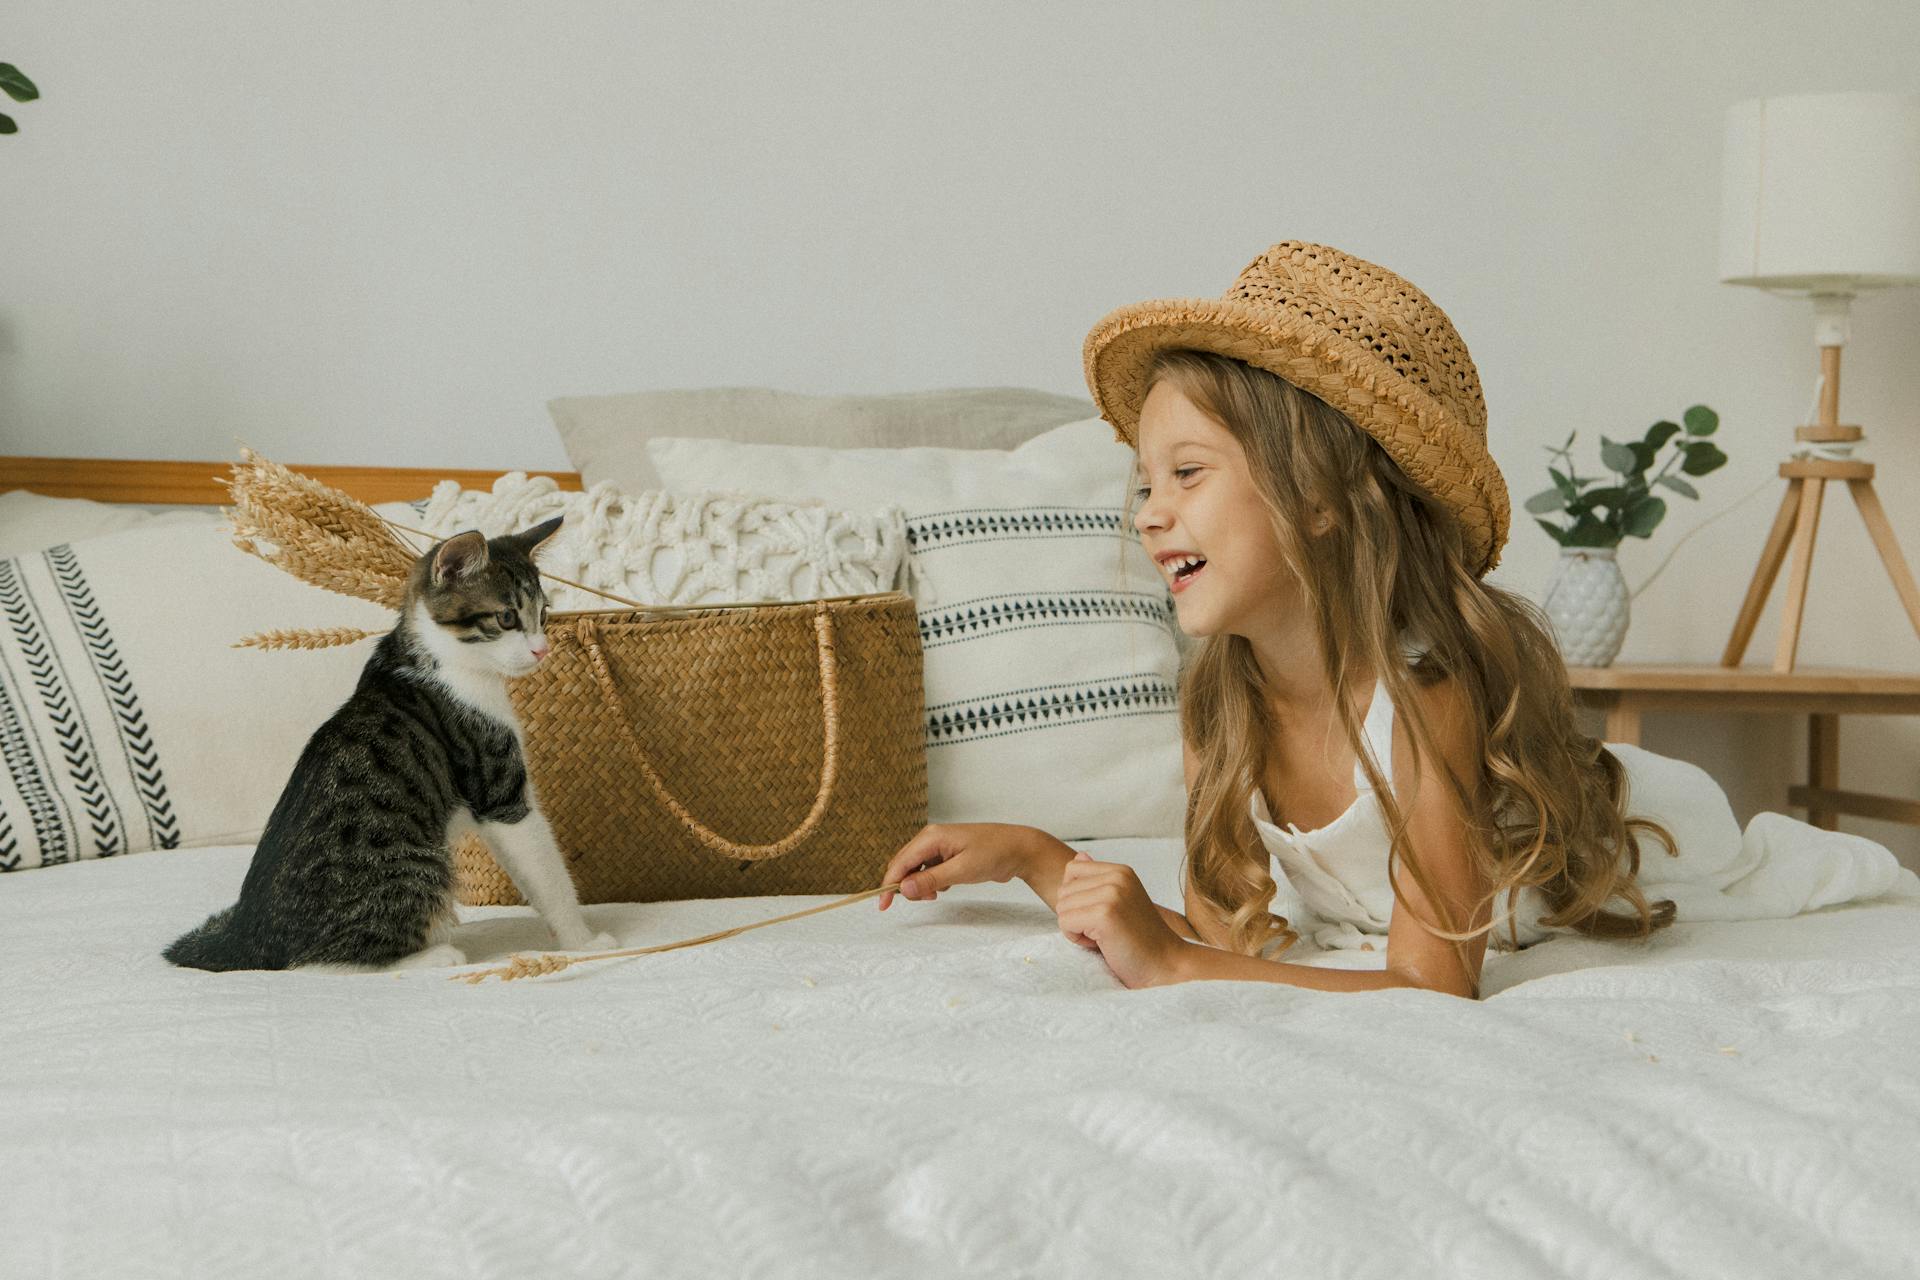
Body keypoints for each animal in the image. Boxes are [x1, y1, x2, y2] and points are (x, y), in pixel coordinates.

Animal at [168, 518, 614, 971]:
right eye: (506, 617)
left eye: (543, 614)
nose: (542, 650)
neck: (444, 659)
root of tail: (246, 936)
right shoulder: (498, 787)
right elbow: (545, 870)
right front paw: (583, 940)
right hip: (419, 867)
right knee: (315, 963)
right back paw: (434, 956)